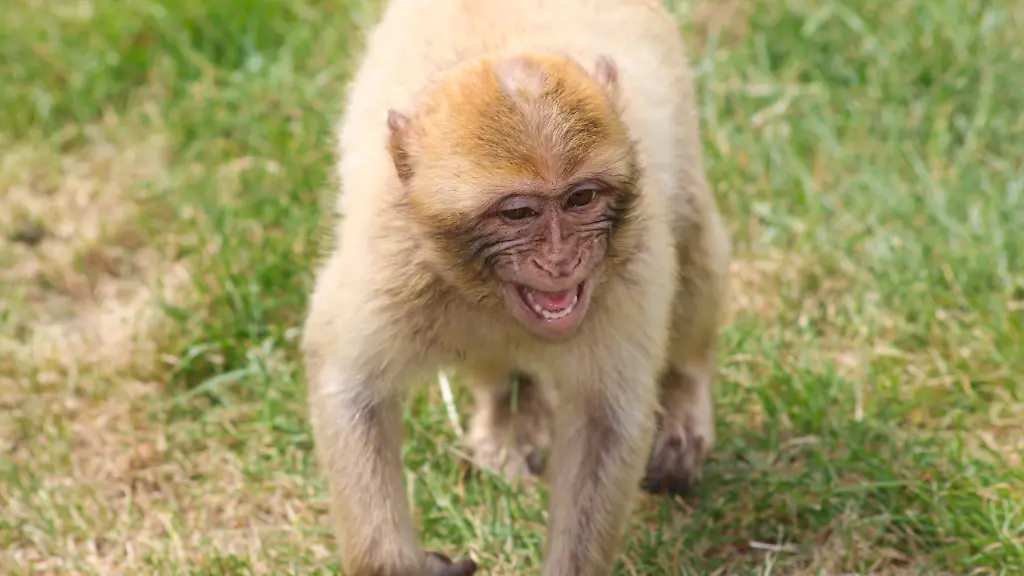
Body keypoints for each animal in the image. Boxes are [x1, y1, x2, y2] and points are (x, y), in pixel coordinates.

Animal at [301, 0, 731, 574]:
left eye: (580, 199)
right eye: (518, 213)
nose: (561, 259)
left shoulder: (631, 271)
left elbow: (604, 421)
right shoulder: (389, 265)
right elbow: (348, 389)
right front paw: (396, 565)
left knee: (692, 232)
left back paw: (684, 391)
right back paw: (509, 408)